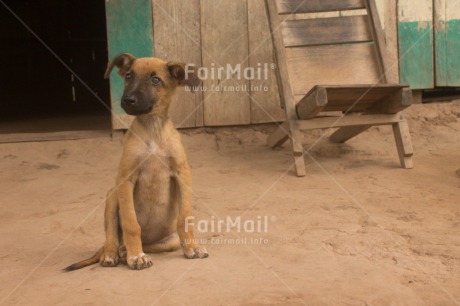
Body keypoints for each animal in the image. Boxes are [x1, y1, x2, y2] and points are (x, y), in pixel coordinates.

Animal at [64, 53, 208, 272]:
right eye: (129, 76)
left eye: (156, 80)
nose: (127, 100)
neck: (152, 128)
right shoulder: (125, 180)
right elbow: (131, 224)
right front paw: (136, 256)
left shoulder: (182, 174)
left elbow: (185, 217)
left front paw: (192, 247)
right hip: (112, 196)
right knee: (112, 238)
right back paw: (114, 253)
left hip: (169, 241)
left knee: (148, 244)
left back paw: (126, 251)